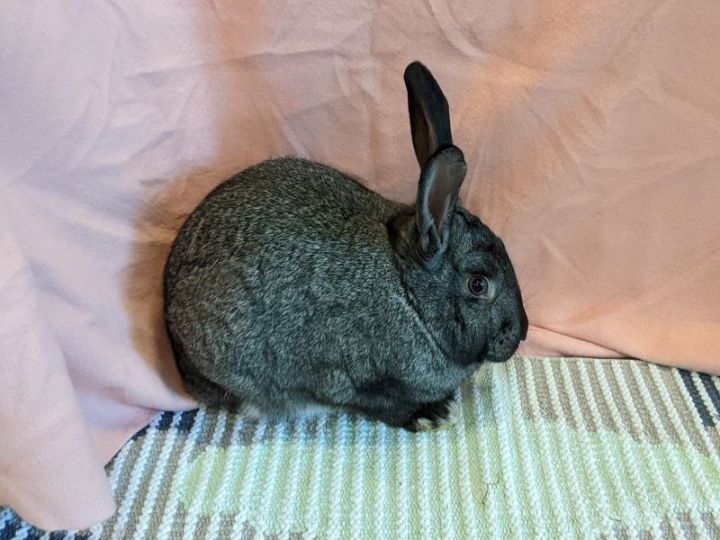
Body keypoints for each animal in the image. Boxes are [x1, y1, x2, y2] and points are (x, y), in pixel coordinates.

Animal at [166, 60, 532, 430]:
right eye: (478, 284)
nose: (523, 332)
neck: (411, 297)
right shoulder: (350, 379)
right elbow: (382, 405)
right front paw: (432, 414)